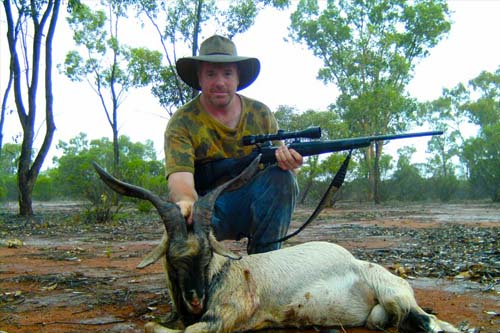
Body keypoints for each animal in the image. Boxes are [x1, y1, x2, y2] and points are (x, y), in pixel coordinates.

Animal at [92, 158, 458, 332]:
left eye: (208, 253)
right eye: (172, 257)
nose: (195, 300)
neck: (224, 273)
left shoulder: (221, 320)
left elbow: (156, 328)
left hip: (396, 297)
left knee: (432, 324)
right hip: (380, 316)